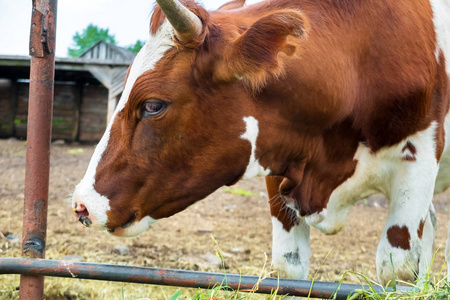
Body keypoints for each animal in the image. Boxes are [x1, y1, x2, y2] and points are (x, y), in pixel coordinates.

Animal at [72, 0, 448, 284]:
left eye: (153, 105)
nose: (81, 204)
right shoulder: (280, 157)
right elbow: (289, 268)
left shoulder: (419, 162)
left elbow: (398, 269)